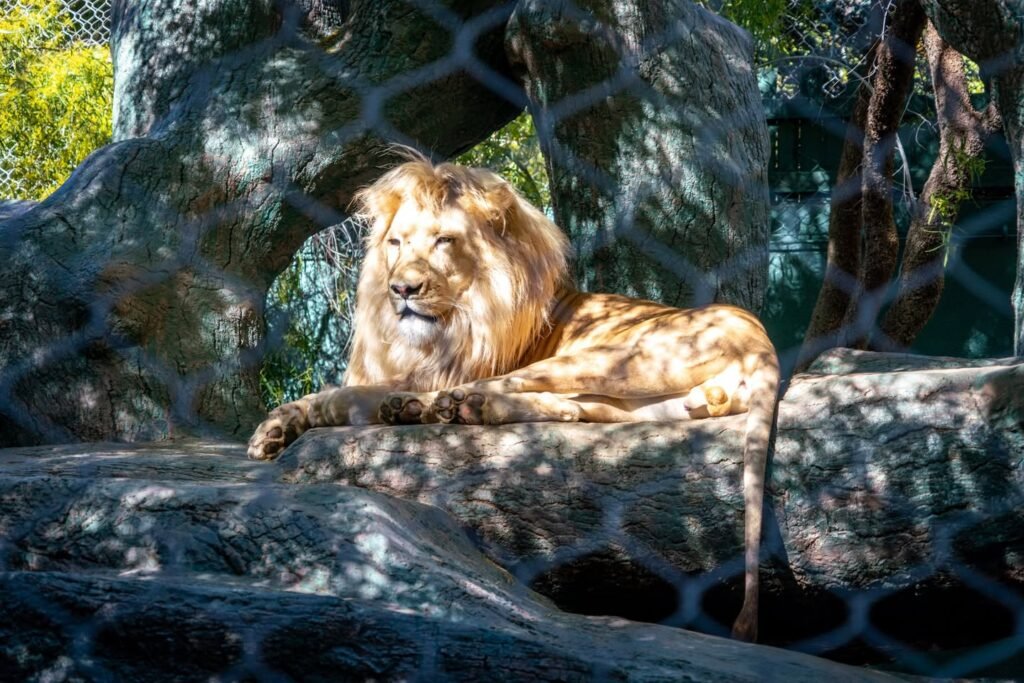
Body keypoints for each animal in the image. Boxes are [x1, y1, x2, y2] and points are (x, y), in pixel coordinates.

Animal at [247, 155, 780, 642]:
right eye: (395, 244)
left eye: (444, 241)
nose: (402, 288)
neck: (455, 321)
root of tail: (761, 338)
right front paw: (272, 432)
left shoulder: (444, 369)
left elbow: (344, 392)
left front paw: (301, 417)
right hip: (642, 395)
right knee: (575, 408)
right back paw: (464, 409)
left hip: (608, 354)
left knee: (505, 388)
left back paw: (433, 407)